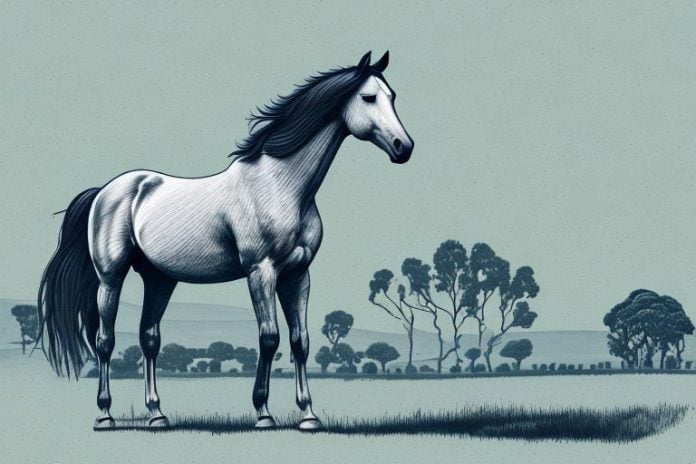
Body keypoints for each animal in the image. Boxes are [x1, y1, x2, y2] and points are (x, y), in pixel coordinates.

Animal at [37, 51, 413, 430]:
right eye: (369, 97)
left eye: (393, 96)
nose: (404, 147)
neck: (280, 186)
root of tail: (106, 191)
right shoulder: (261, 271)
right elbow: (269, 337)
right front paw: (263, 413)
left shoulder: (298, 274)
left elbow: (300, 342)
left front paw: (308, 415)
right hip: (111, 279)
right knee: (105, 342)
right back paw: (105, 415)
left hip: (159, 279)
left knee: (149, 340)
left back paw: (157, 414)